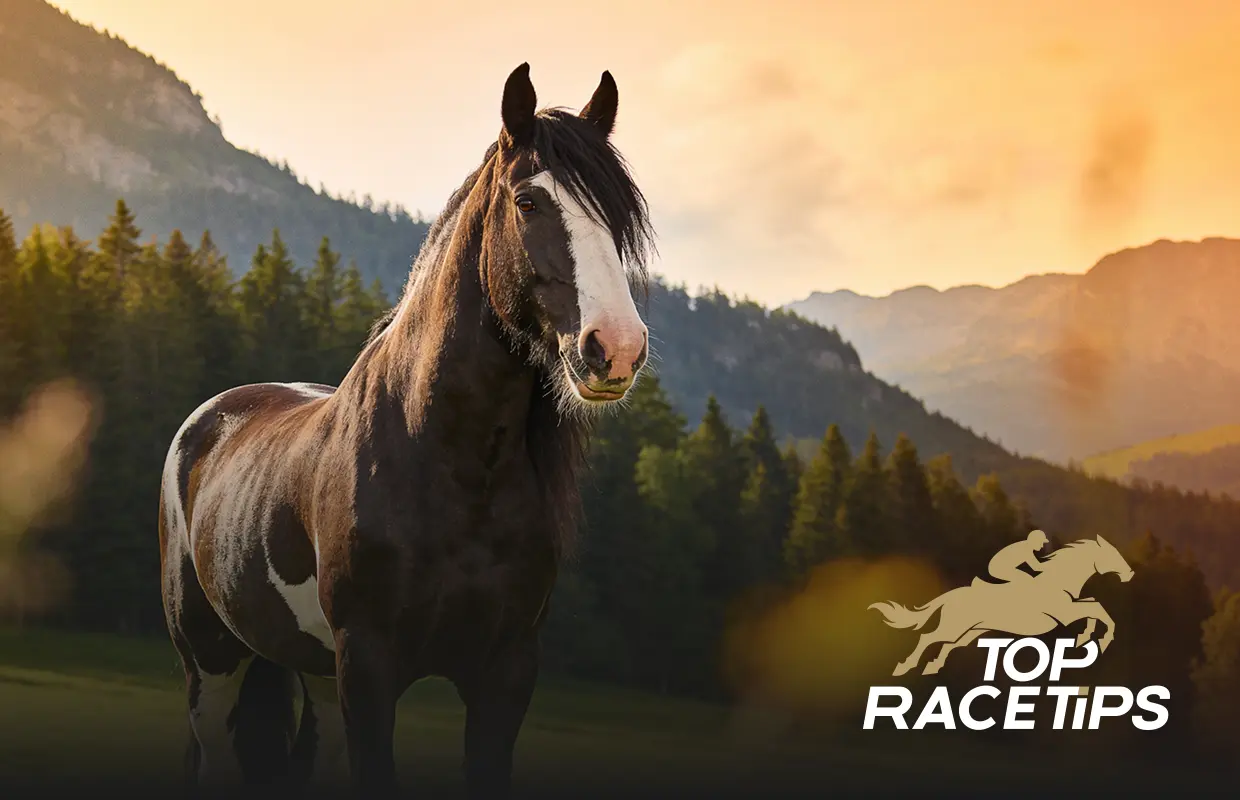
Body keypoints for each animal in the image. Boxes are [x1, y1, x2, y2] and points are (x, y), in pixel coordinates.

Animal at [158, 63, 656, 798]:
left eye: (620, 216)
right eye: (528, 202)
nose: (616, 348)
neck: (450, 466)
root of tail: (208, 420)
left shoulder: (505, 672)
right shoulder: (369, 665)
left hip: (316, 673)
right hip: (212, 663)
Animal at [869, 535, 1134, 677]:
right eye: (1112, 554)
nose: (1130, 574)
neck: (1059, 580)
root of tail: (951, 595)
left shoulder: (1071, 608)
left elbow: (1094, 606)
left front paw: (1085, 637)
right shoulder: (1066, 614)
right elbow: (1096, 608)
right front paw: (1101, 639)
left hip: (971, 632)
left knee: (948, 645)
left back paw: (932, 667)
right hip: (954, 628)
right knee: (928, 637)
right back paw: (904, 667)